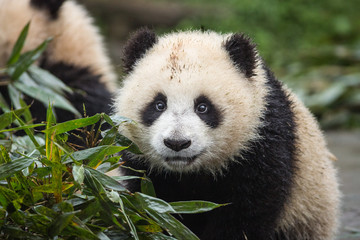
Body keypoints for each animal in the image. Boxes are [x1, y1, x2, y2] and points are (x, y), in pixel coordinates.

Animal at [113, 28, 340, 240]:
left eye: (203, 107)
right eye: (159, 104)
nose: (177, 143)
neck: (189, 172)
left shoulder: (261, 140)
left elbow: (247, 211)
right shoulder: (143, 165)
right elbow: (155, 207)